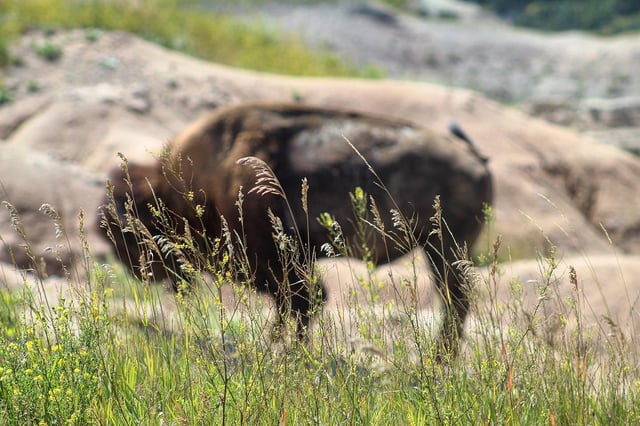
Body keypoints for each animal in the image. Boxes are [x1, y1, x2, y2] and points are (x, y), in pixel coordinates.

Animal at [99, 100, 490, 356]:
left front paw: (281, 350)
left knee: (455, 301)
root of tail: (474, 157)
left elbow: (301, 299)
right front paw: (282, 348)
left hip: (443, 249)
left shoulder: (271, 258)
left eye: (127, 234)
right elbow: (299, 302)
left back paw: (440, 361)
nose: (141, 273)